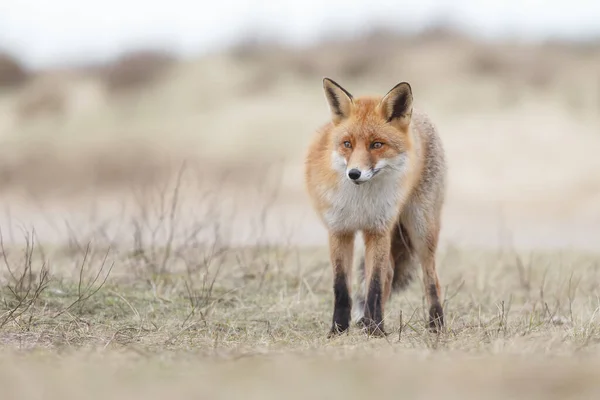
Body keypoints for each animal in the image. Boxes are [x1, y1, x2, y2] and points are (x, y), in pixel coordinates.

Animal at [304, 78, 446, 338]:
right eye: (347, 144)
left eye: (376, 144)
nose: (354, 173)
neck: (360, 202)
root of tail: (419, 113)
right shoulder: (339, 230)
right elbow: (341, 287)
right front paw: (338, 330)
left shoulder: (378, 229)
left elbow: (376, 285)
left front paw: (377, 331)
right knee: (390, 271)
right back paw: (365, 321)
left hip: (421, 228)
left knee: (431, 279)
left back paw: (436, 324)